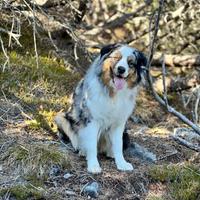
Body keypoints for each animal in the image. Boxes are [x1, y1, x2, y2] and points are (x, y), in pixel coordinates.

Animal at [54, 43, 147, 173]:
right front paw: (93, 165)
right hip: (61, 117)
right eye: (116, 58)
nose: (121, 69)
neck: (113, 93)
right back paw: (83, 151)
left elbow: (118, 144)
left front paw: (121, 163)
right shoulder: (92, 120)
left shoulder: (119, 123)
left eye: (131, 63)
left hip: (125, 133)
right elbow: (92, 144)